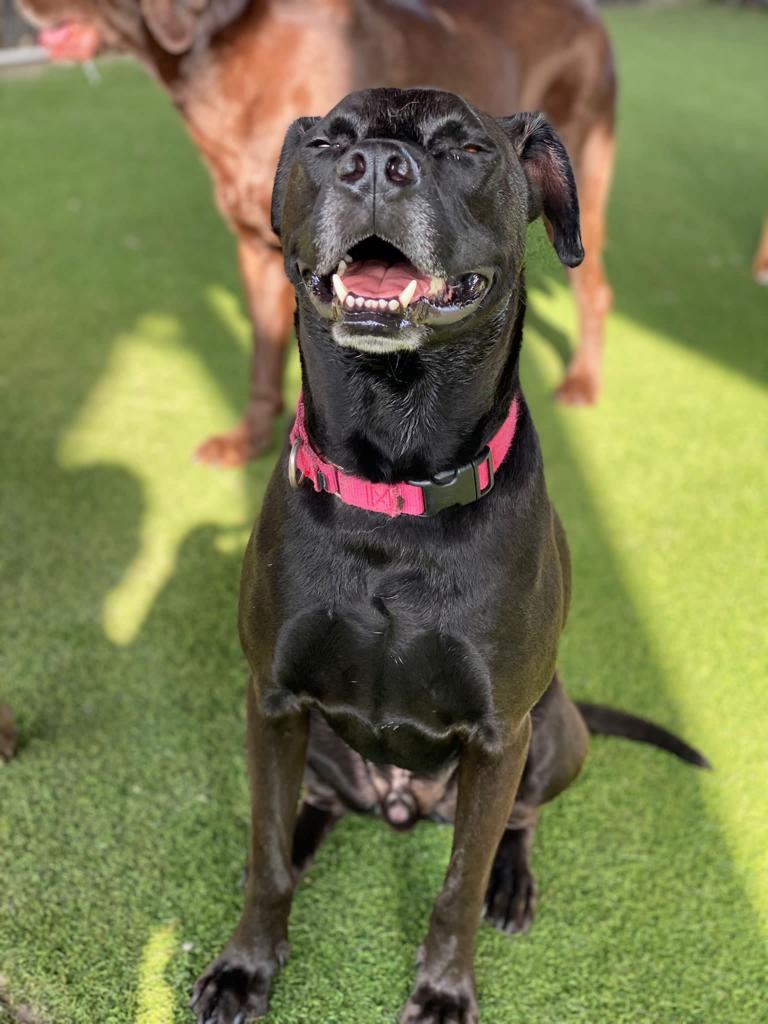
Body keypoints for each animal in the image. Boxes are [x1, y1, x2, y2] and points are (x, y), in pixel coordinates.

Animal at [20, 0, 616, 466]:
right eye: (325, 145)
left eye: (463, 149)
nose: (374, 167)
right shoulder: (257, 252)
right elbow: (263, 355)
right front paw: (252, 438)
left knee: (596, 292)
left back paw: (584, 381)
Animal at [189, 88, 707, 1024]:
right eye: (327, 142)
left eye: (467, 149)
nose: (372, 167)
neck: (396, 483)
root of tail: (402, 804)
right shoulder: (272, 699)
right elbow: (265, 857)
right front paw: (247, 965)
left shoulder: (499, 737)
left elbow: (456, 885)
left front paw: (442, 989)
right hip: (321, 748)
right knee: (303, 814)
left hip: (552, 733)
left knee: (517, 826)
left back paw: (513, 883)